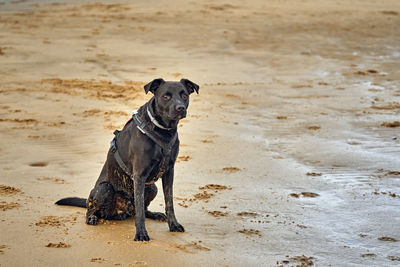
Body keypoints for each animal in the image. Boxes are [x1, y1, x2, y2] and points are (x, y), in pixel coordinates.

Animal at [55, 78, 199, 242]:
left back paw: (154, 214)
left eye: (184, 95)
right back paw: (92, 217)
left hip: (152, 187)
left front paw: (173, 225)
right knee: (93, 210)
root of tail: (122, 210)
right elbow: (140, 212)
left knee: (141, 209)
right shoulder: (139, 175)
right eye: (166, 96)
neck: (162, 131)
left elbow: (169, 202)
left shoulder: (169, 172)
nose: (181, 108)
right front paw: (141, 233)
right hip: (104, 189)